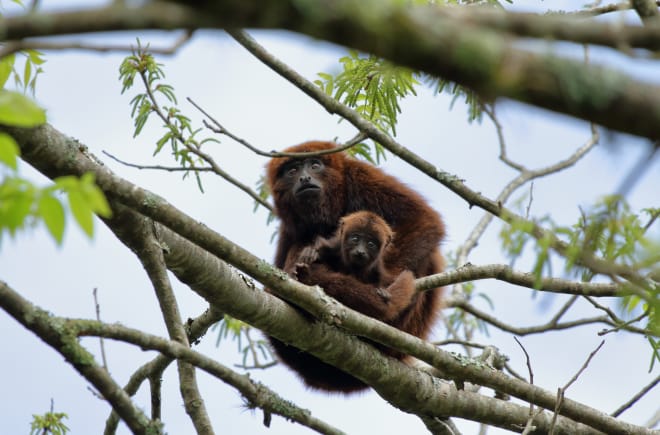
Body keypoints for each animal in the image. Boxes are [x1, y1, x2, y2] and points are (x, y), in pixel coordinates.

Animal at [264, 141, 444, 394]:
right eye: (292, 170)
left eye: (315, 164)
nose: (304, 177)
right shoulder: (289, 228)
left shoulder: (360, 177)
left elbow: (423, 220)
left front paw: (384, 283)